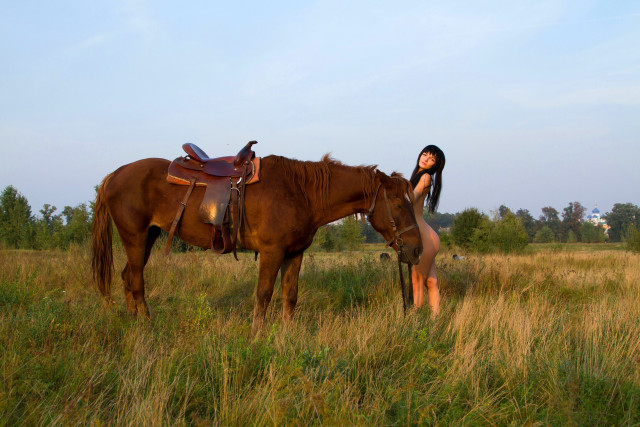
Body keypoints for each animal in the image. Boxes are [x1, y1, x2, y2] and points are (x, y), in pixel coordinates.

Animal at [91, 152, 422, 334]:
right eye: (397, 203)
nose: (417, 249)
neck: (301, 192)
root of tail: (113, 175)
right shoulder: (271, 252)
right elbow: (263, 295)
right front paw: (256, 335)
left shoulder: (295, 253)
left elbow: (290, 295)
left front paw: (287, 335)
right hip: (135, 237)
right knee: (136, 281)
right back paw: (146, 326)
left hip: (147, 236)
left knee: (127, 277)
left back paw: (132, 321)